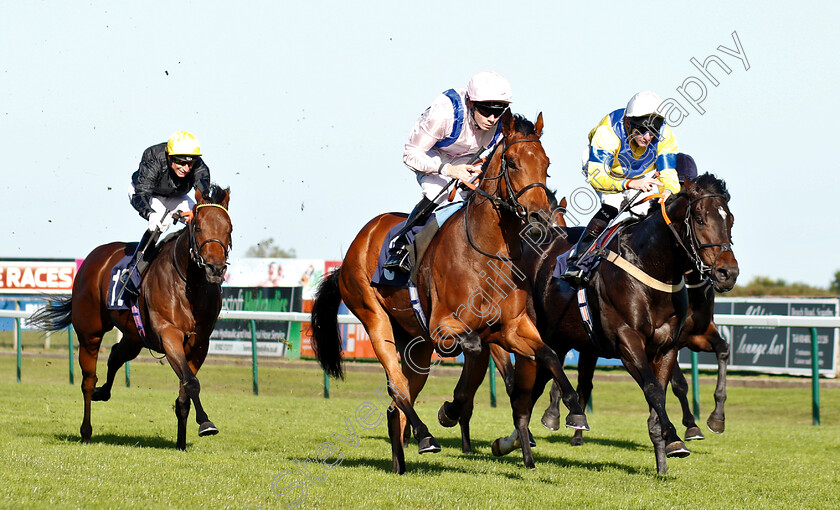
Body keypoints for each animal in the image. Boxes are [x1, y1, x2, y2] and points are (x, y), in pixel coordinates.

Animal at [29, 185, 231, 448]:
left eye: (229, 229)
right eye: (197, 227)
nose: (215, 269)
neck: (190, 285)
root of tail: (94, 257)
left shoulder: (200, 344)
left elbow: (185, 391)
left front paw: (181, 442)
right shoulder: (169, 335)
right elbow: (191, 383)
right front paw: (205, 423)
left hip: (134, 337)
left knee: (115, 356)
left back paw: (103, 392)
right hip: (90, 333)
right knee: (88, 380)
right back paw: (86, 431)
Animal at [310, 111, 592, 474]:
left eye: (546, 163)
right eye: (512, 162)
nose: (540, 219)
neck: (487, 255)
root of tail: (358, 244)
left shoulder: (513, 327)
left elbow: (549, 355)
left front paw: (573, 411)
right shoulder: (444, 327)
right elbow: (473, 350)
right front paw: (450, 410)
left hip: (416, 344)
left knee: (397, 402)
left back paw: (401, 461)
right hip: (374, 318)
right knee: (397, 386)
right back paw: (425, 435)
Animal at [482, 173, 740, 472]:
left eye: (730, 219)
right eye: (699, 219)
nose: (727, 272)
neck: (650, 267)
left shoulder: (669, 346)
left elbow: (665, 390)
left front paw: (667, 453)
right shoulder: (627, 341)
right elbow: (655, 389)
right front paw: (673, 434)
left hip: (559, 342)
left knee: (539, 388)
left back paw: (516, 440)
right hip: (531, 339)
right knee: (523, 396)